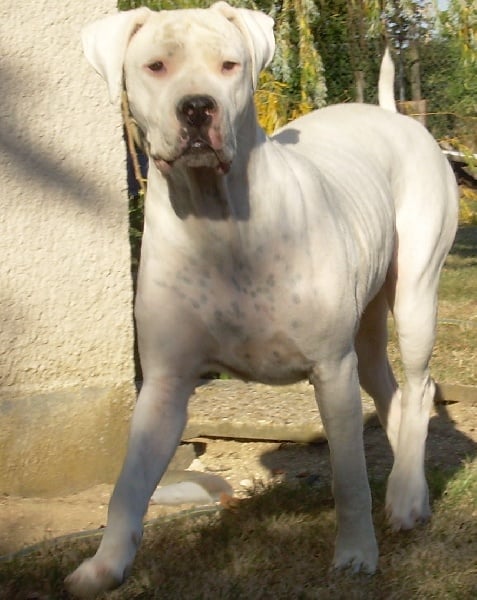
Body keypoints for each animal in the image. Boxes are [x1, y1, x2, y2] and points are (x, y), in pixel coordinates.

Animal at [66, 3, 458, 596]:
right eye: (156, 66)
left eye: (229, 65)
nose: (197, 106)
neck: (219, 219)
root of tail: (398, 117)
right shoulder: (164, 384)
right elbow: (128, 486)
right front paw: (105, 566)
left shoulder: (331, 369)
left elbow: (348, 478)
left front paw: (355, 554)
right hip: (366, 332)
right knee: (391, 393)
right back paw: (406, 485)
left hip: (414, 296)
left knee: (418, 389)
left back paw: (407, 497)